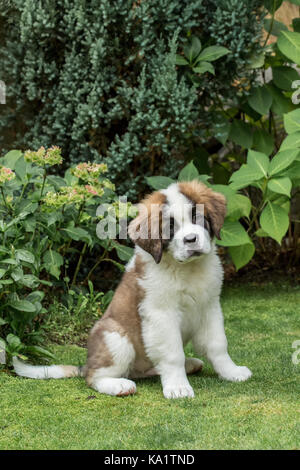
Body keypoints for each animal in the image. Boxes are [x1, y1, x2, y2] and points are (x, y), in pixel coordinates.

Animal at [14, 182, 253, 398]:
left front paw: (231, 372)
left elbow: (218, 345)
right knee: (94, 377)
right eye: (170, 228)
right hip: (115, 338)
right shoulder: (161, 314)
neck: (187, 269)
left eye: (197, 218)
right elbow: (173, 354)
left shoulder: (209, 307)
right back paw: (118, 385)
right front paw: (178, 387)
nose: (191, 240)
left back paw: (189, 364)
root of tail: (87, 363)